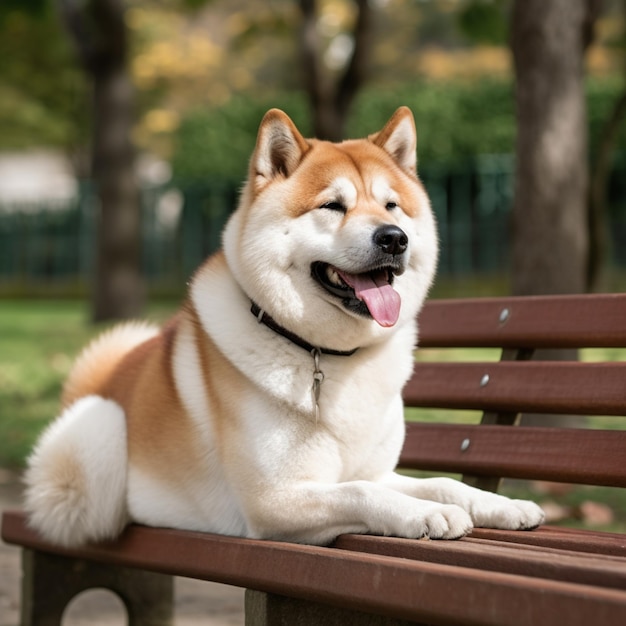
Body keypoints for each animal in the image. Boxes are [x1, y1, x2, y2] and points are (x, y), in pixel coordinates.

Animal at [23, 108, 540, 544]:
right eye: (332, 206)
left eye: (392, 206)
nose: (394, 239)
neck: (329, 356)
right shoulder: (274, 500)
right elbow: (363, 493)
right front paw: (423, 514)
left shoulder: (377, 471)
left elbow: (441, 481)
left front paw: (501, 503)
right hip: (100, 431)